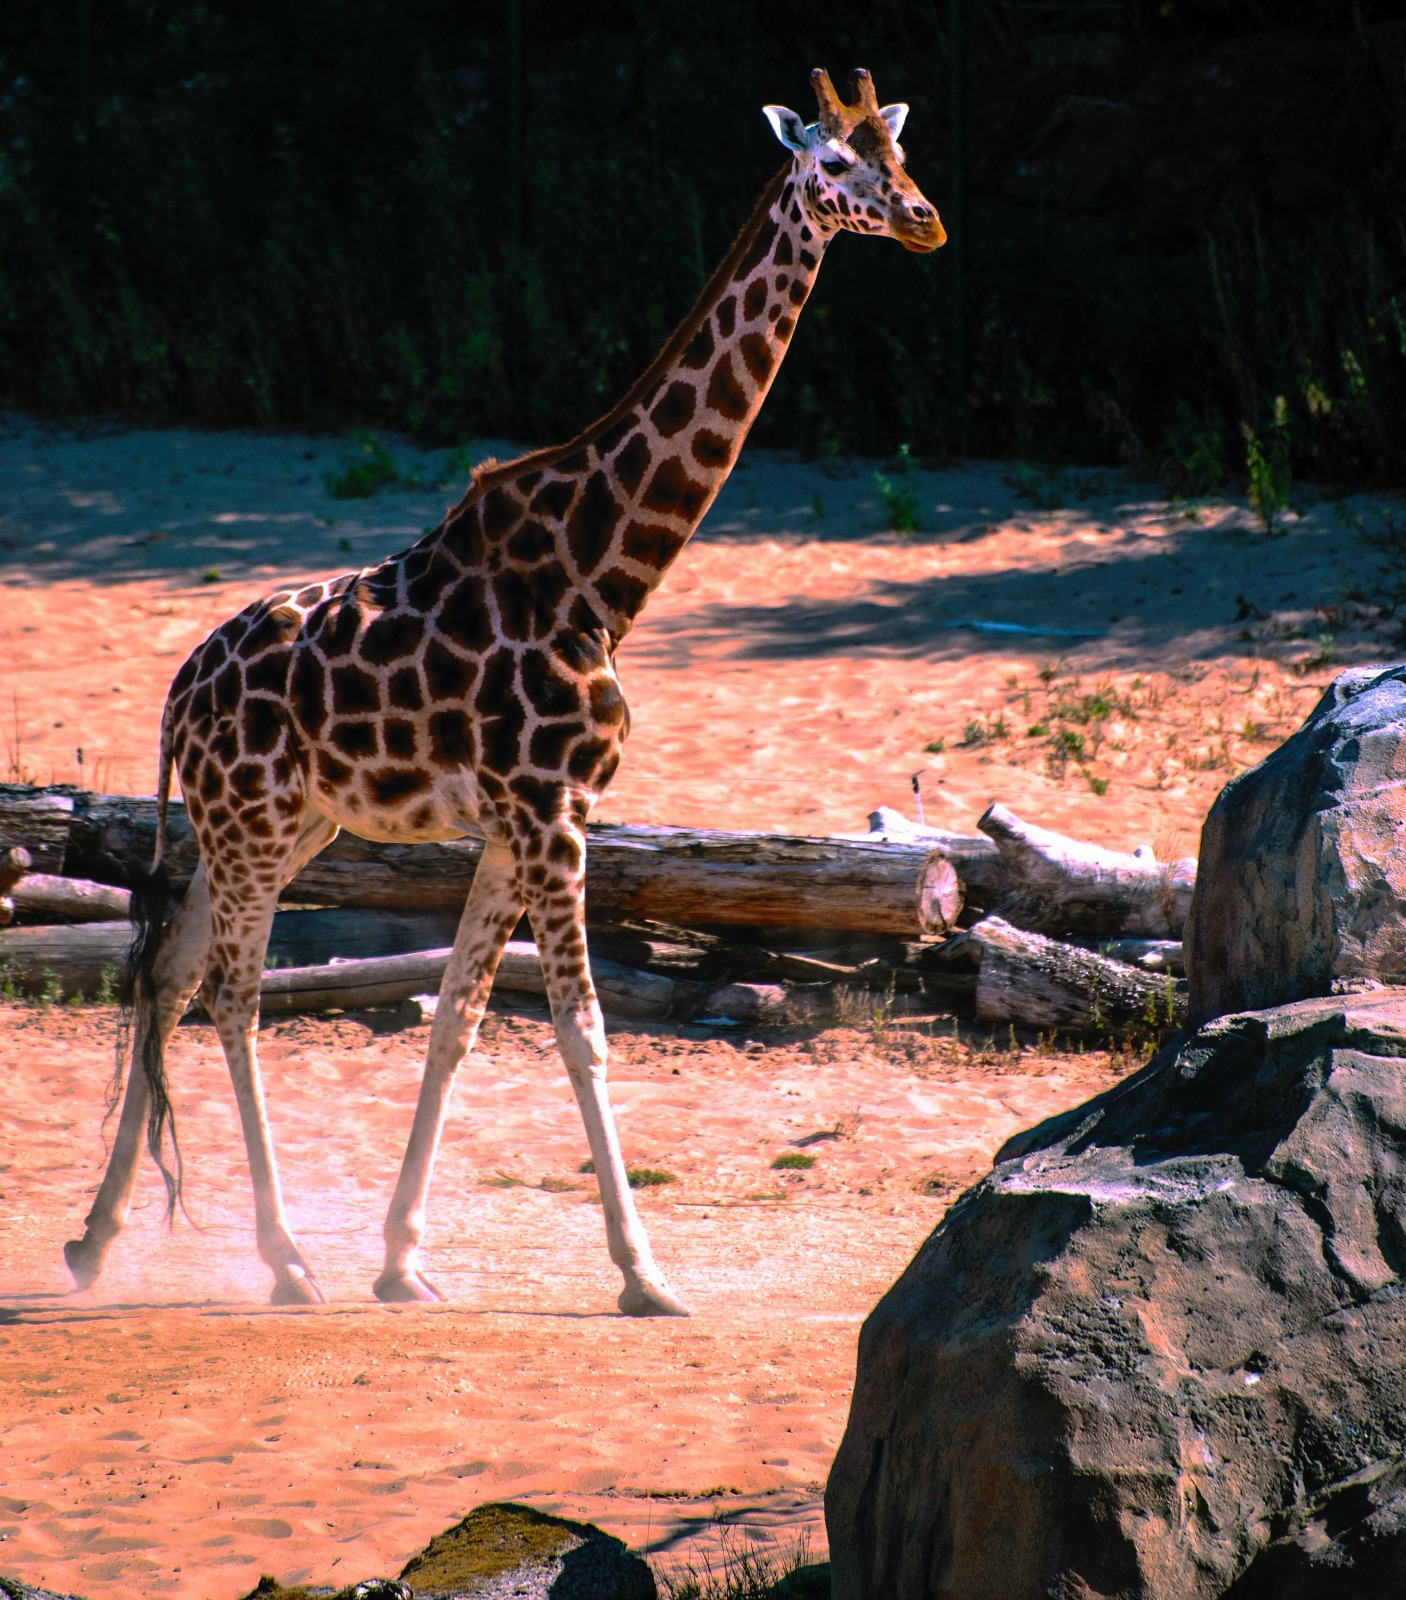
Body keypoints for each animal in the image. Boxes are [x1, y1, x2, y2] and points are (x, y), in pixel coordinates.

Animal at [63, 68, 944, 1317]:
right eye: (831, 166)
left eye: (900, 154)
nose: (922, 220)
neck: (601, 573)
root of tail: (176, 699)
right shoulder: (550, 809)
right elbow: (580, 1027)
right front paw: (644, 1274)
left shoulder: (511, 824)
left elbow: (460, 1021)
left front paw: (402, 1257)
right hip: (254, 824)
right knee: (231, 993)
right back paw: (283, 1257)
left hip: (272, 827)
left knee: (167, 976)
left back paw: (95, 1240)